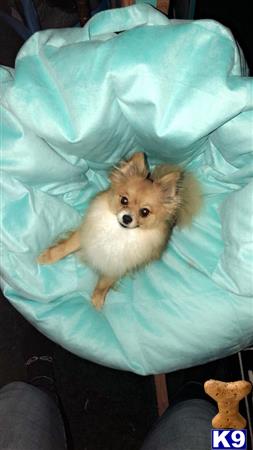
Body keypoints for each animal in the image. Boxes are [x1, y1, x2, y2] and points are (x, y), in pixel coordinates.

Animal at [38, 153, 202, 308]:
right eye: (124, 200)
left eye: (144, 212)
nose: (127, 218)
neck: (119, 232)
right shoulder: (86, 233)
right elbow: (65, 247)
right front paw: (47, 257)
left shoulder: (118, 265)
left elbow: (104, 283)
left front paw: (97, 299)